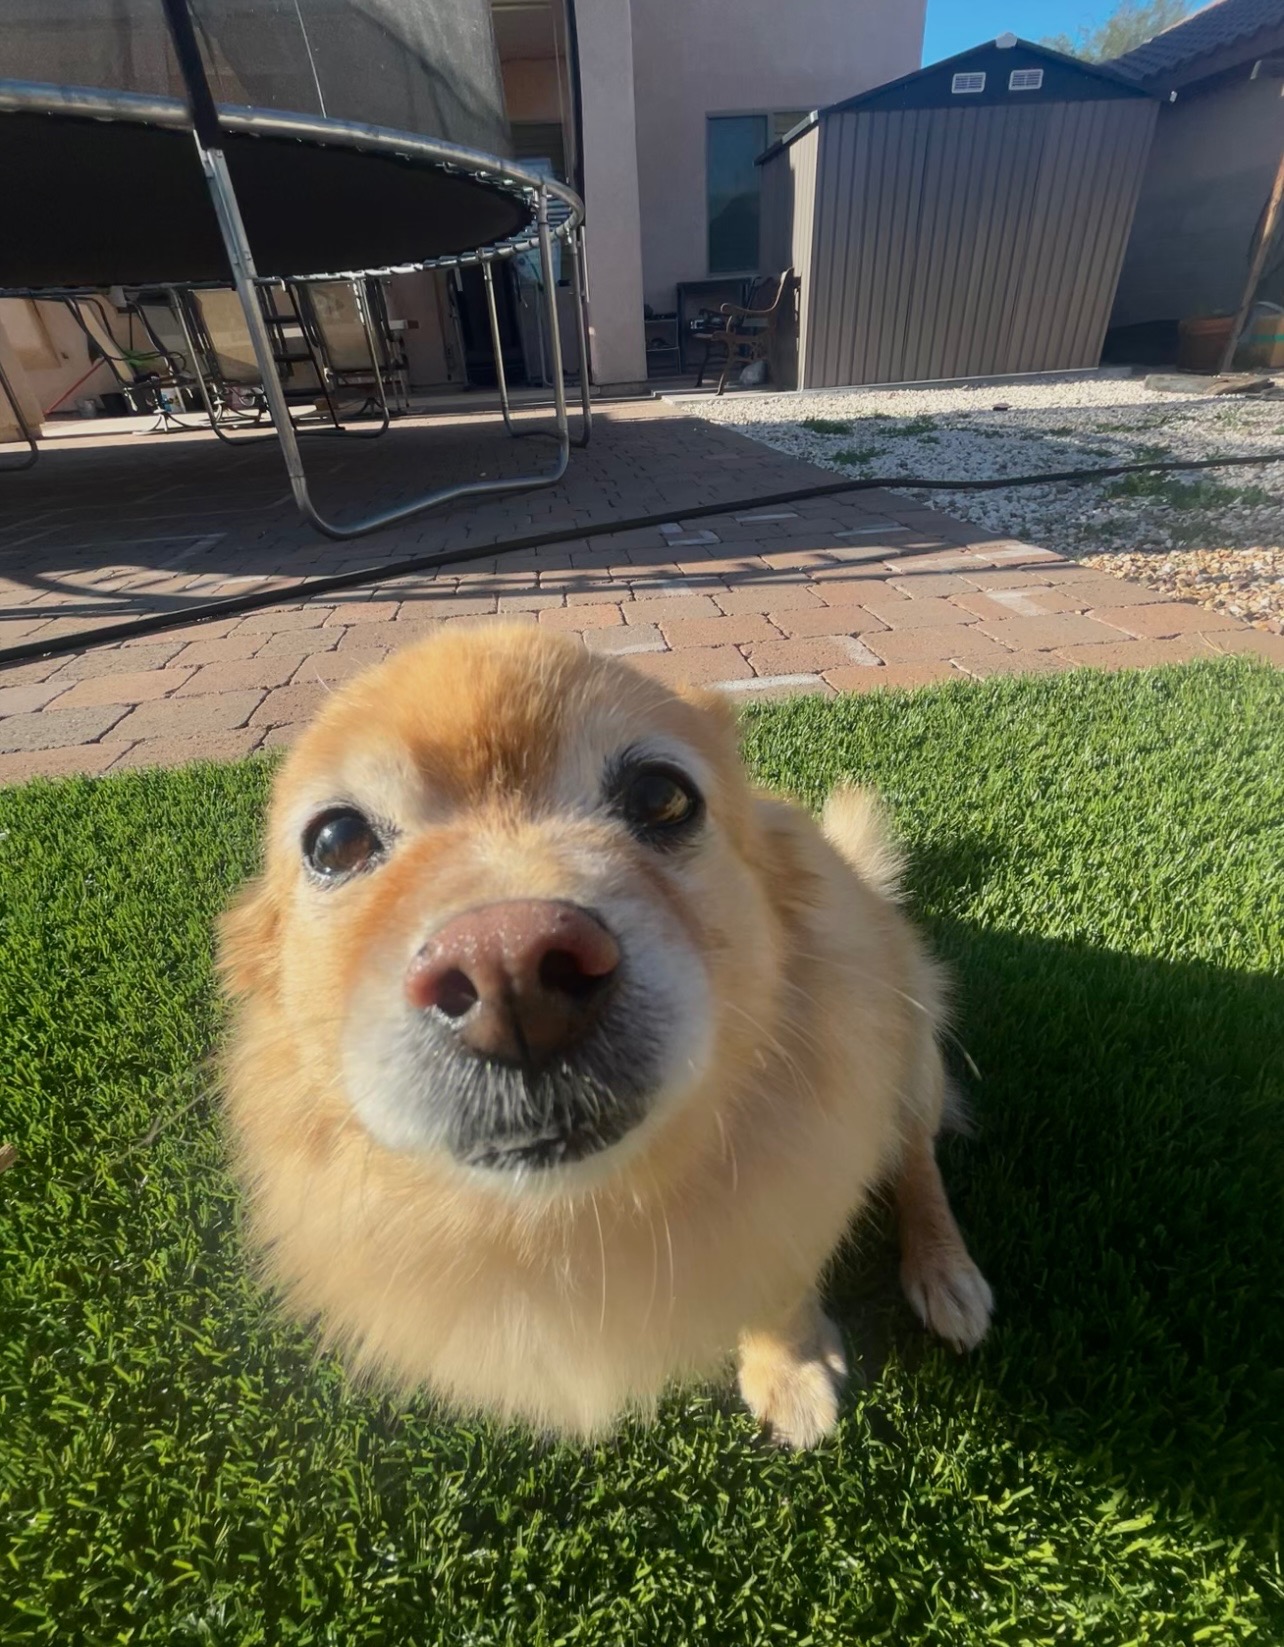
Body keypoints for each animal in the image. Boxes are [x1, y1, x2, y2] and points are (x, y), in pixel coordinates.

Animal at [218, 624, 991, 1447]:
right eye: (335, 841)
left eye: (662, 796)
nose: (509, 966)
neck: (583, 1214)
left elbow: (782, 1278)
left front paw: (790, 1370)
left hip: (910, 1039)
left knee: (915, 1156)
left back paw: (945, 1271)